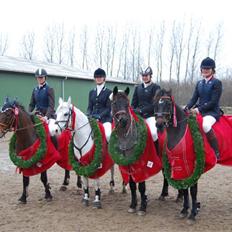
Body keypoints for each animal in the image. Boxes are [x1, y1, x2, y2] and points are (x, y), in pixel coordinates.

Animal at [109, 87, 162, 216]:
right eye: (114, 103)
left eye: (127, 104)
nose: (123, 120)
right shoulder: (127, 163)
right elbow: (132, 184)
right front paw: (133, 205)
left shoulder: (141, 164)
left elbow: (141, 186)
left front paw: (142, 207)